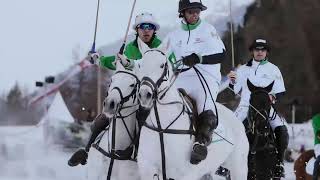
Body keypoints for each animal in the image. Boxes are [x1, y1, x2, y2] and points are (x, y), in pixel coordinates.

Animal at [135, 39, 250, 180]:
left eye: (162, 65)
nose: (145, 95)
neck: (162, 127)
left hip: (239, 167)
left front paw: (192, 58)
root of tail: (234, 116)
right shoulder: (148, 169)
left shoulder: (185, 174)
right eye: (140, 65)